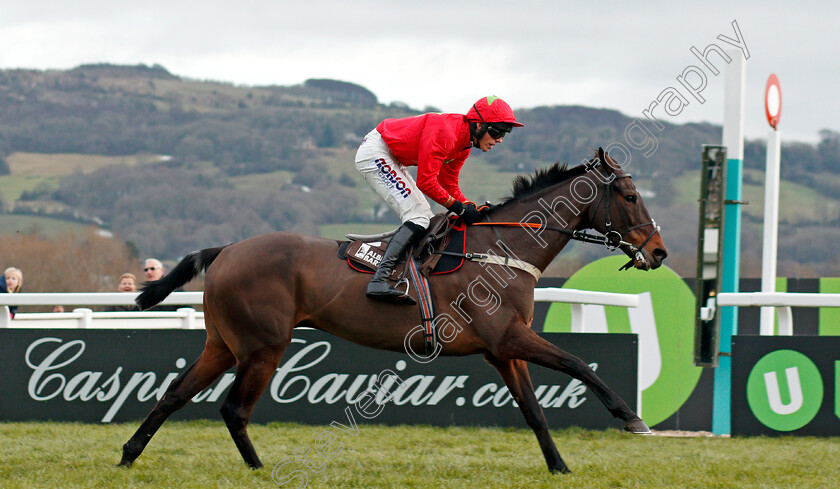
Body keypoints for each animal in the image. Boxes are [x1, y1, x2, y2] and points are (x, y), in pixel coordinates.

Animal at [118, 148, 668, 472]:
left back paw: (128, 455)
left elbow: (533, 410)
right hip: (262, 347)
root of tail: (226, 250)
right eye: (630, 195)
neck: (501, 250)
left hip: (224, 344)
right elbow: (578, 363)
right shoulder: (508, 337)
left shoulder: (502, 349)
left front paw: (559, 467)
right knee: (234, 409)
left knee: (174, 395)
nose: (659, 252)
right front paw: (631, 418)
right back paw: (257, 471)